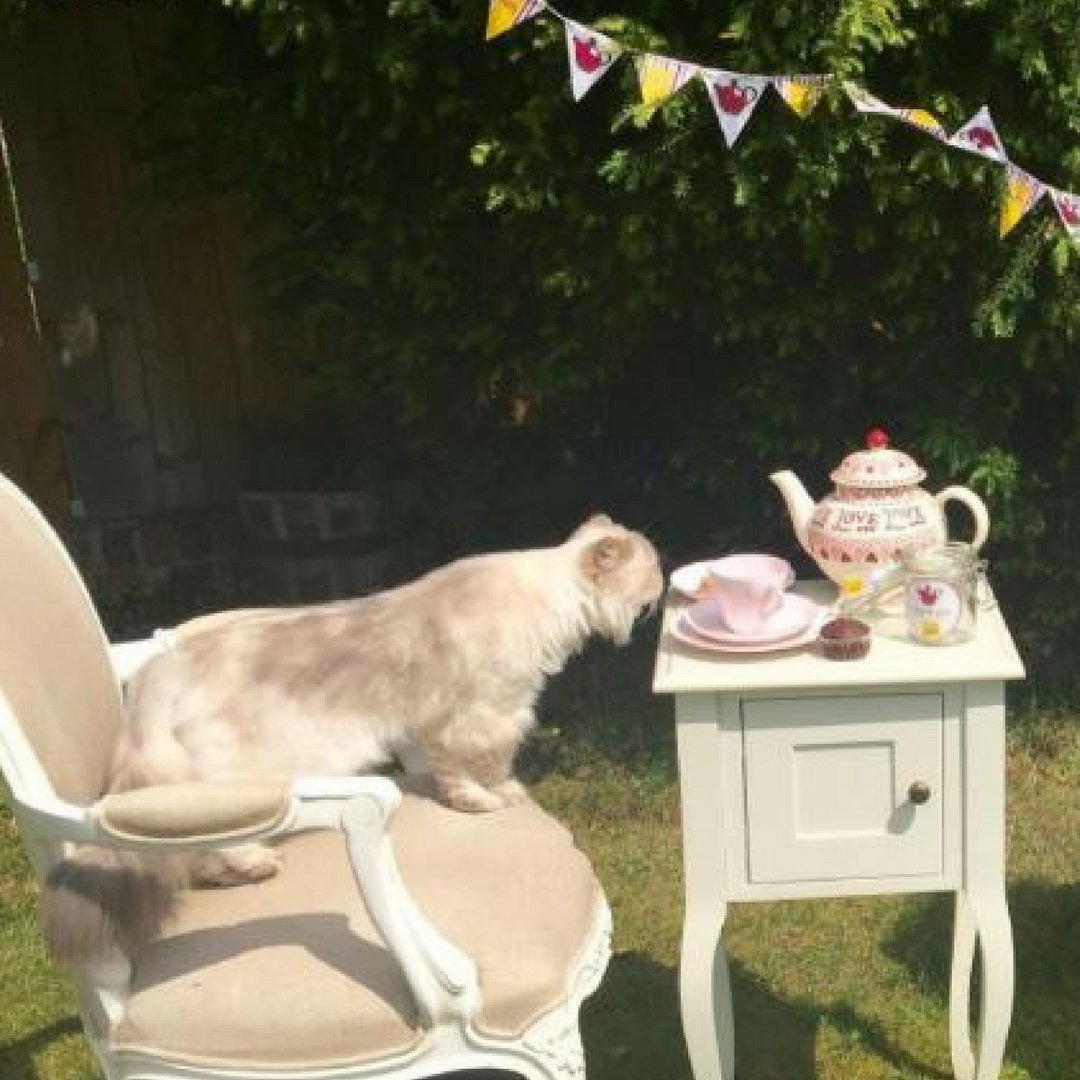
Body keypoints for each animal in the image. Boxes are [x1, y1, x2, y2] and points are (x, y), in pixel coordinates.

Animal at [42, 509, 660, 967]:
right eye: (651, 576)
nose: (660, 591)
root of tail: (162, 667)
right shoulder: (489, 713)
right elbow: (486, 769)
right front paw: (494, 798)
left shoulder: (437, 723)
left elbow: (448, 770)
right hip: (242, 779)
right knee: (216, 843)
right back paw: (254, 864)